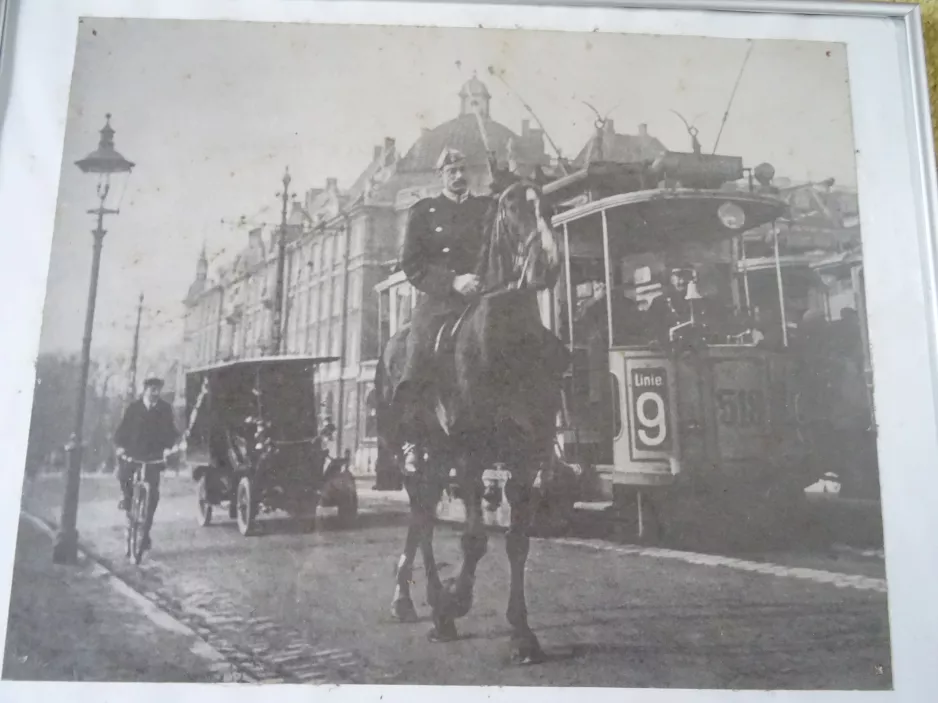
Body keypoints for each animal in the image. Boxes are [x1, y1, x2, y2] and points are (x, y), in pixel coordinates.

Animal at [374, 182, 572, 664]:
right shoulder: (470, 451)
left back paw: (410, 598)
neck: (504, 346)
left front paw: (522, 633)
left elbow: (517, 540)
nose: (546, 265)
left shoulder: (529, 454)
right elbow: (475, 540)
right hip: (411, 446)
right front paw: (455, 602)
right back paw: (427, 600)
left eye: (548, 206)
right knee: (422, 514)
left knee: (423, 509)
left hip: (437, 452)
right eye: (511, 207)